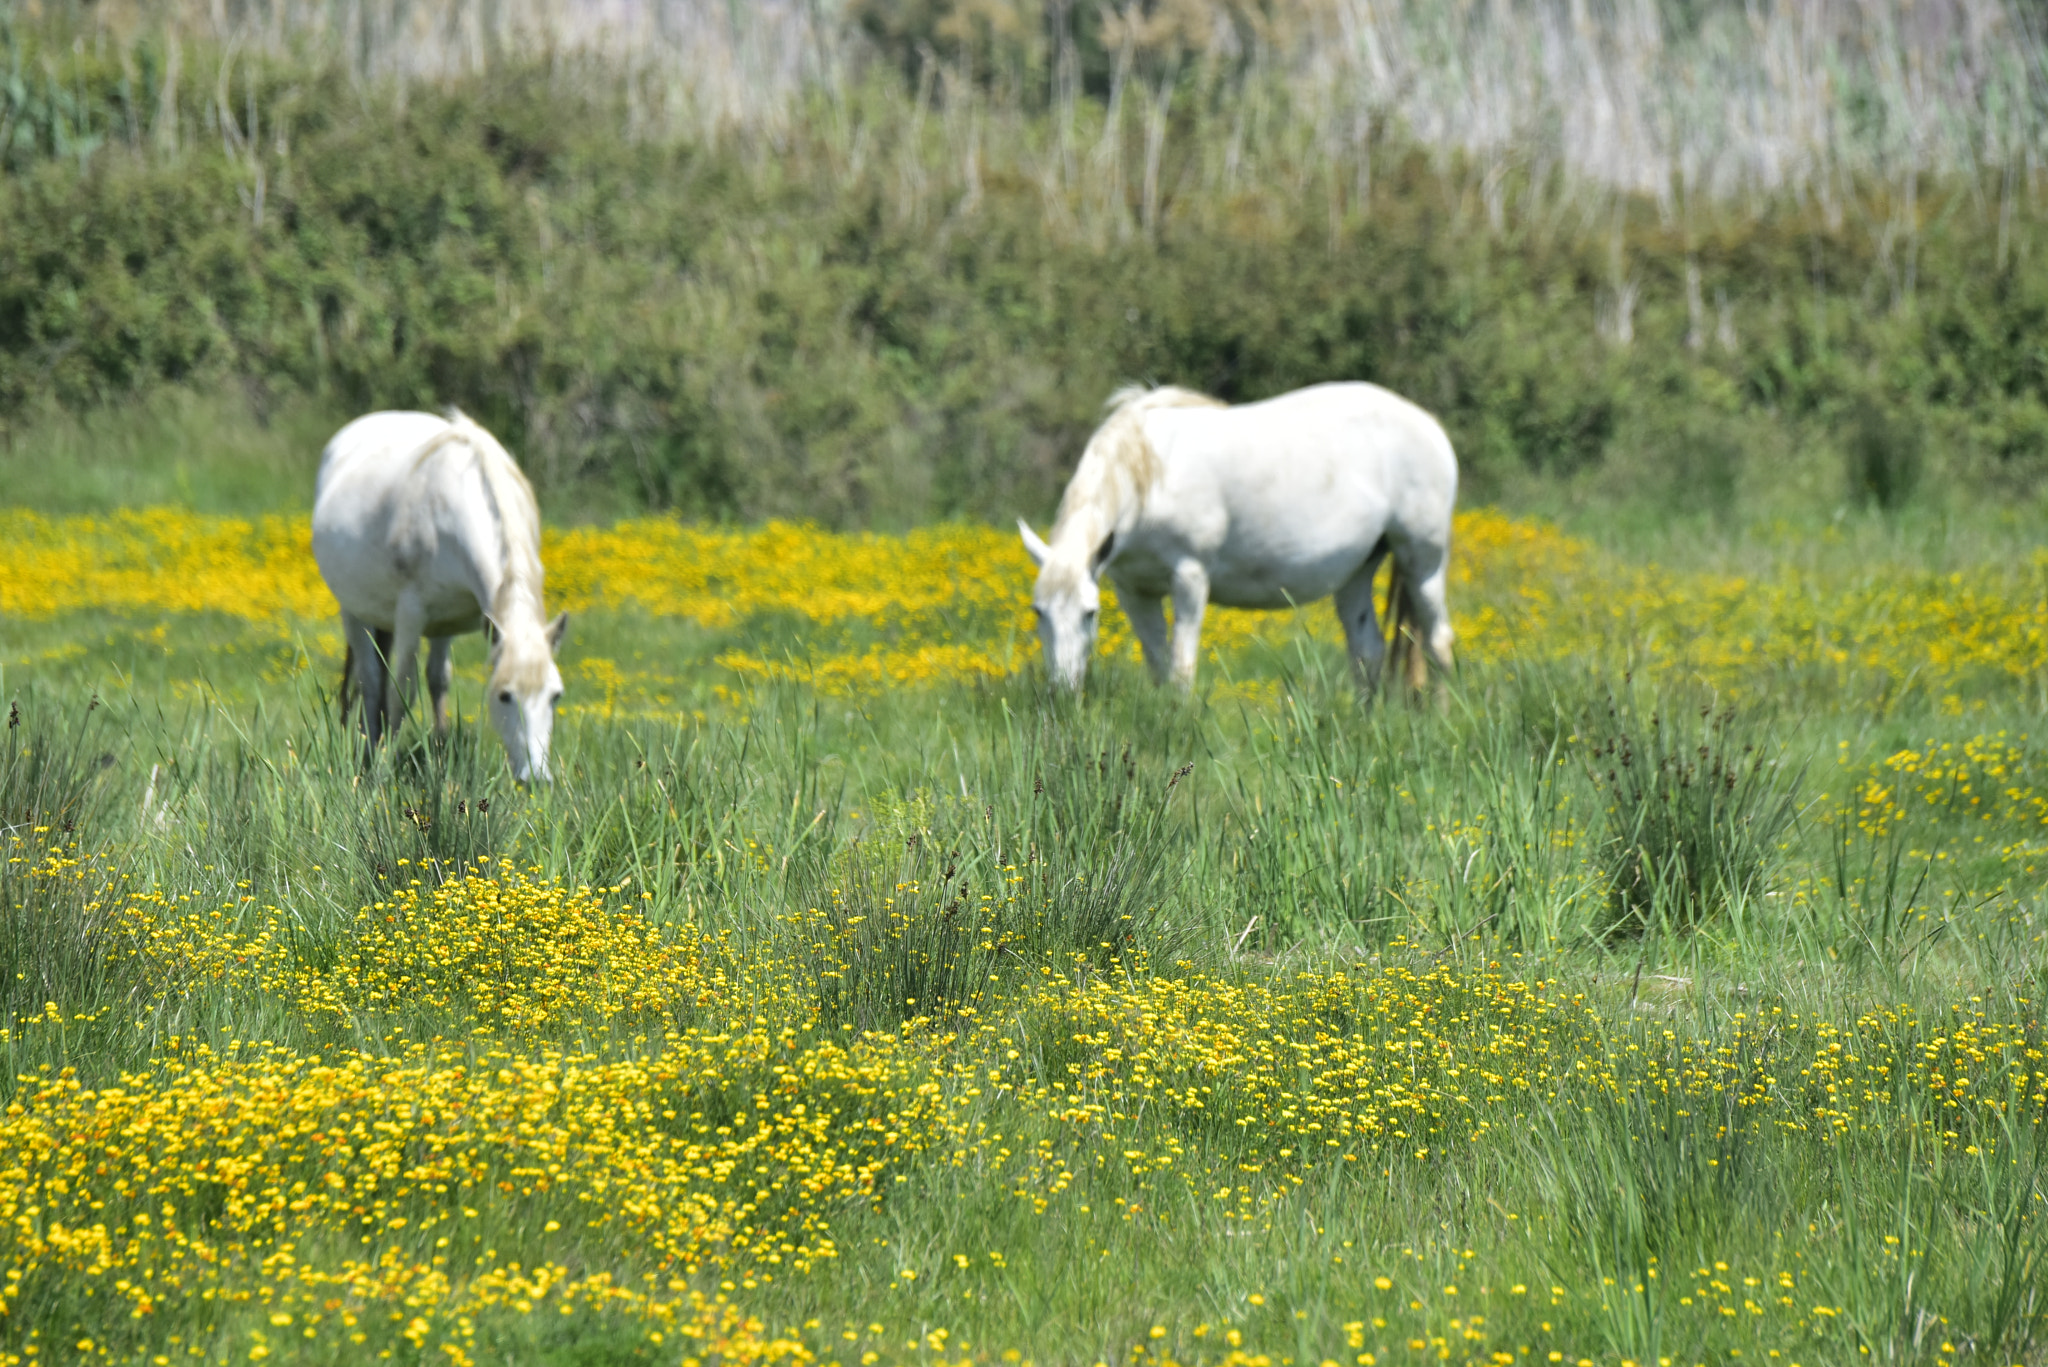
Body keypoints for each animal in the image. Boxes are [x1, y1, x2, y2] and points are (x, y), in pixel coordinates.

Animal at [312, 408, 568, 782]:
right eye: (505, 695)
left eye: (555, 696)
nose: (535, 777)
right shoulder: (410, 615)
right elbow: (401, 690)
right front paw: (385, 768)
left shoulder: (450, 620)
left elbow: (439, 681)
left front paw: (442, 755)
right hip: (354, 612)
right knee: (371, 680)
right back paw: (371, 751)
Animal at [1018, 382, 1457, 696]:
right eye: (1039, 611)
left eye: (1089, 613)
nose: (1062, 692)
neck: (1152, 476)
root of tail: (1430, 426)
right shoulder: (1134, 590)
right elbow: (1158, 663)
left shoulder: (1190, 577)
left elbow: (1181, 666)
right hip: (1357, 571)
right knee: (1368, 650)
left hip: (1423, 559)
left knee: (1438, 642)